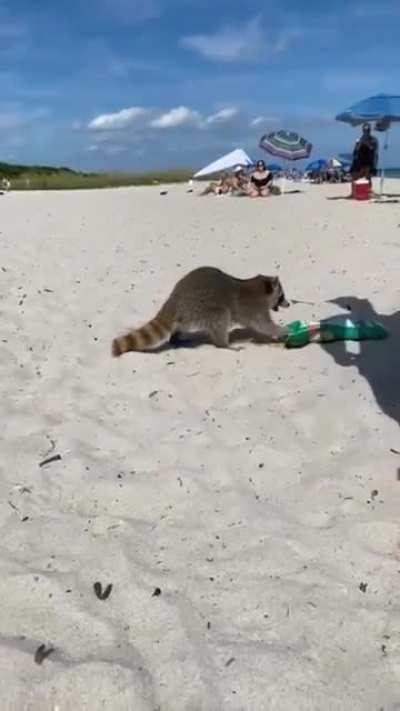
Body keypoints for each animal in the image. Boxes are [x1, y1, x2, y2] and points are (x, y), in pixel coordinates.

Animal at [112, 266, 289, 356]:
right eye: (281, 296)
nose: (288, 304)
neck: (259, 288)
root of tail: (175, 299)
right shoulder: (253, 308)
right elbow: (263, 325)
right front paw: (281, 330)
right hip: (202, 306)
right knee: (221, 316)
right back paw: (224, 344)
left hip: (189, 314)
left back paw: (176, 337)